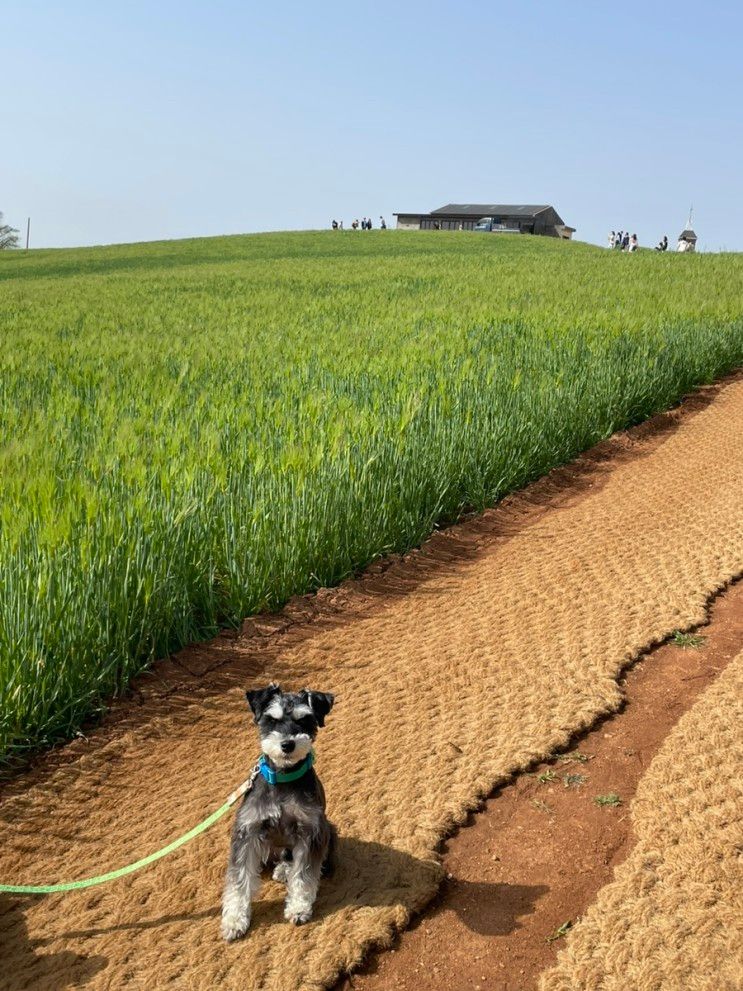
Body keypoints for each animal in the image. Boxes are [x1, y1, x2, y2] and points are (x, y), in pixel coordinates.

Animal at [221, 684, 338, 940]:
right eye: (271, 720)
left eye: (304, 720)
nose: (287, 744)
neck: (284, 778)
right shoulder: (247, 831)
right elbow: (239, 880)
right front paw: (234, 919)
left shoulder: (311, 831)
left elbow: (303, 875)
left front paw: (299, 907)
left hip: (330, 830)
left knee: (291, 857)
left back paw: (285, 869)